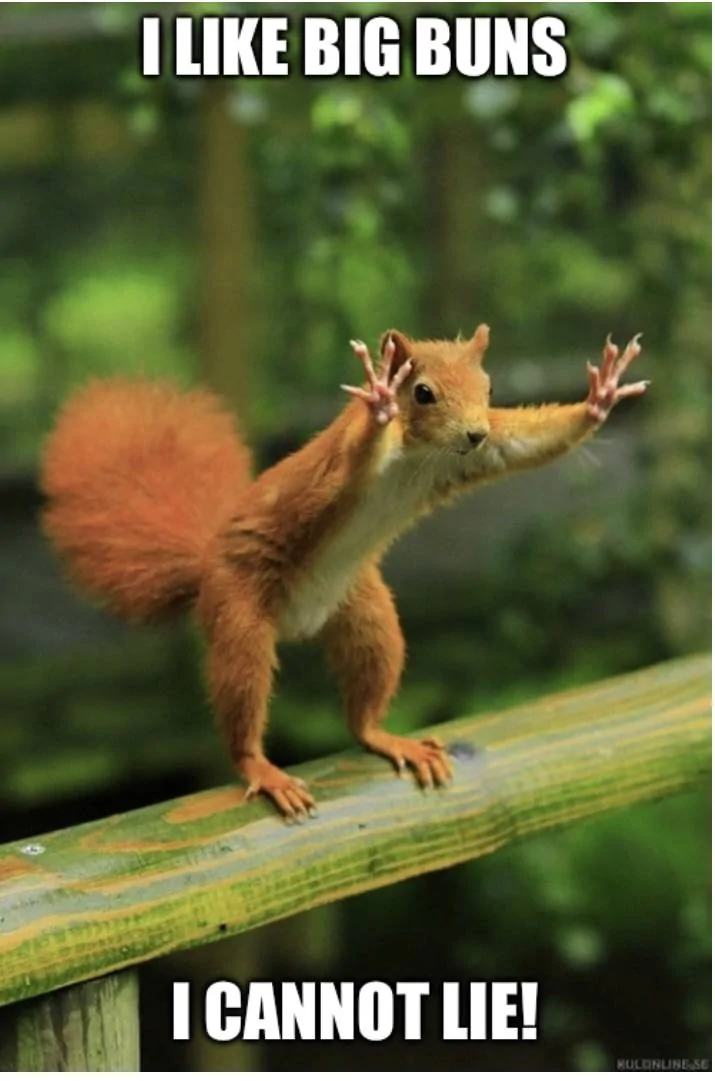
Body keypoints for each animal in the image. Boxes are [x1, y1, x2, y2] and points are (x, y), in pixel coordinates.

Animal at [40, 325, 647, 819]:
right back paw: (261, 768)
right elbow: (351, 462)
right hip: (239, 614)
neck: (419, 454)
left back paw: (386, 737)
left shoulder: (477, 455)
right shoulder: (339, 468)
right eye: (422, 392)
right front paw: (379, 399)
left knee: (363, 705)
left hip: (366, 614)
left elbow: (525, 443)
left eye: (490, 387)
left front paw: (600, 398)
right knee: (241, 698)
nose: (474, 431)